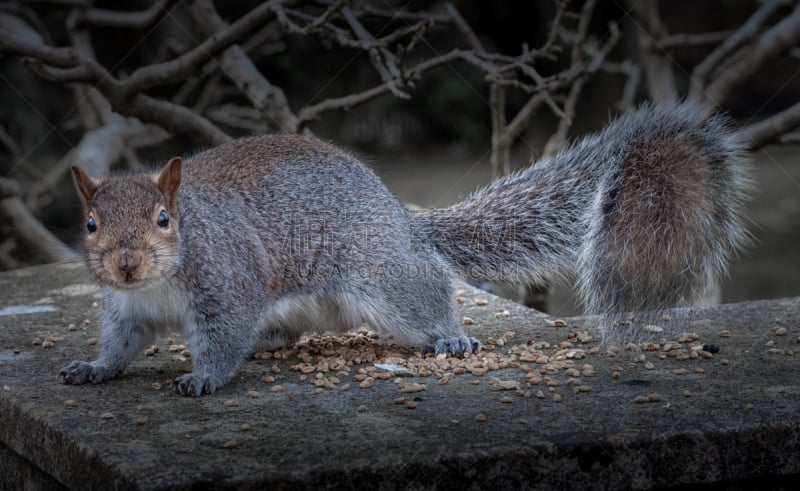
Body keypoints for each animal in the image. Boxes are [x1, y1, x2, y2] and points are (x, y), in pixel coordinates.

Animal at [61, 103, 752, 396]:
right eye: (90, 224)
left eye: (163, 218)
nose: (126, 263)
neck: (157, 286)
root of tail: (405, 226)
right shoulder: (129, 309)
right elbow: (120, 342)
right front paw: (93, 368)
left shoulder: (226, 286)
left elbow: (222, 334)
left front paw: (202, 378)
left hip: (388, 280)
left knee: (427, 297)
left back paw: (453, 338)